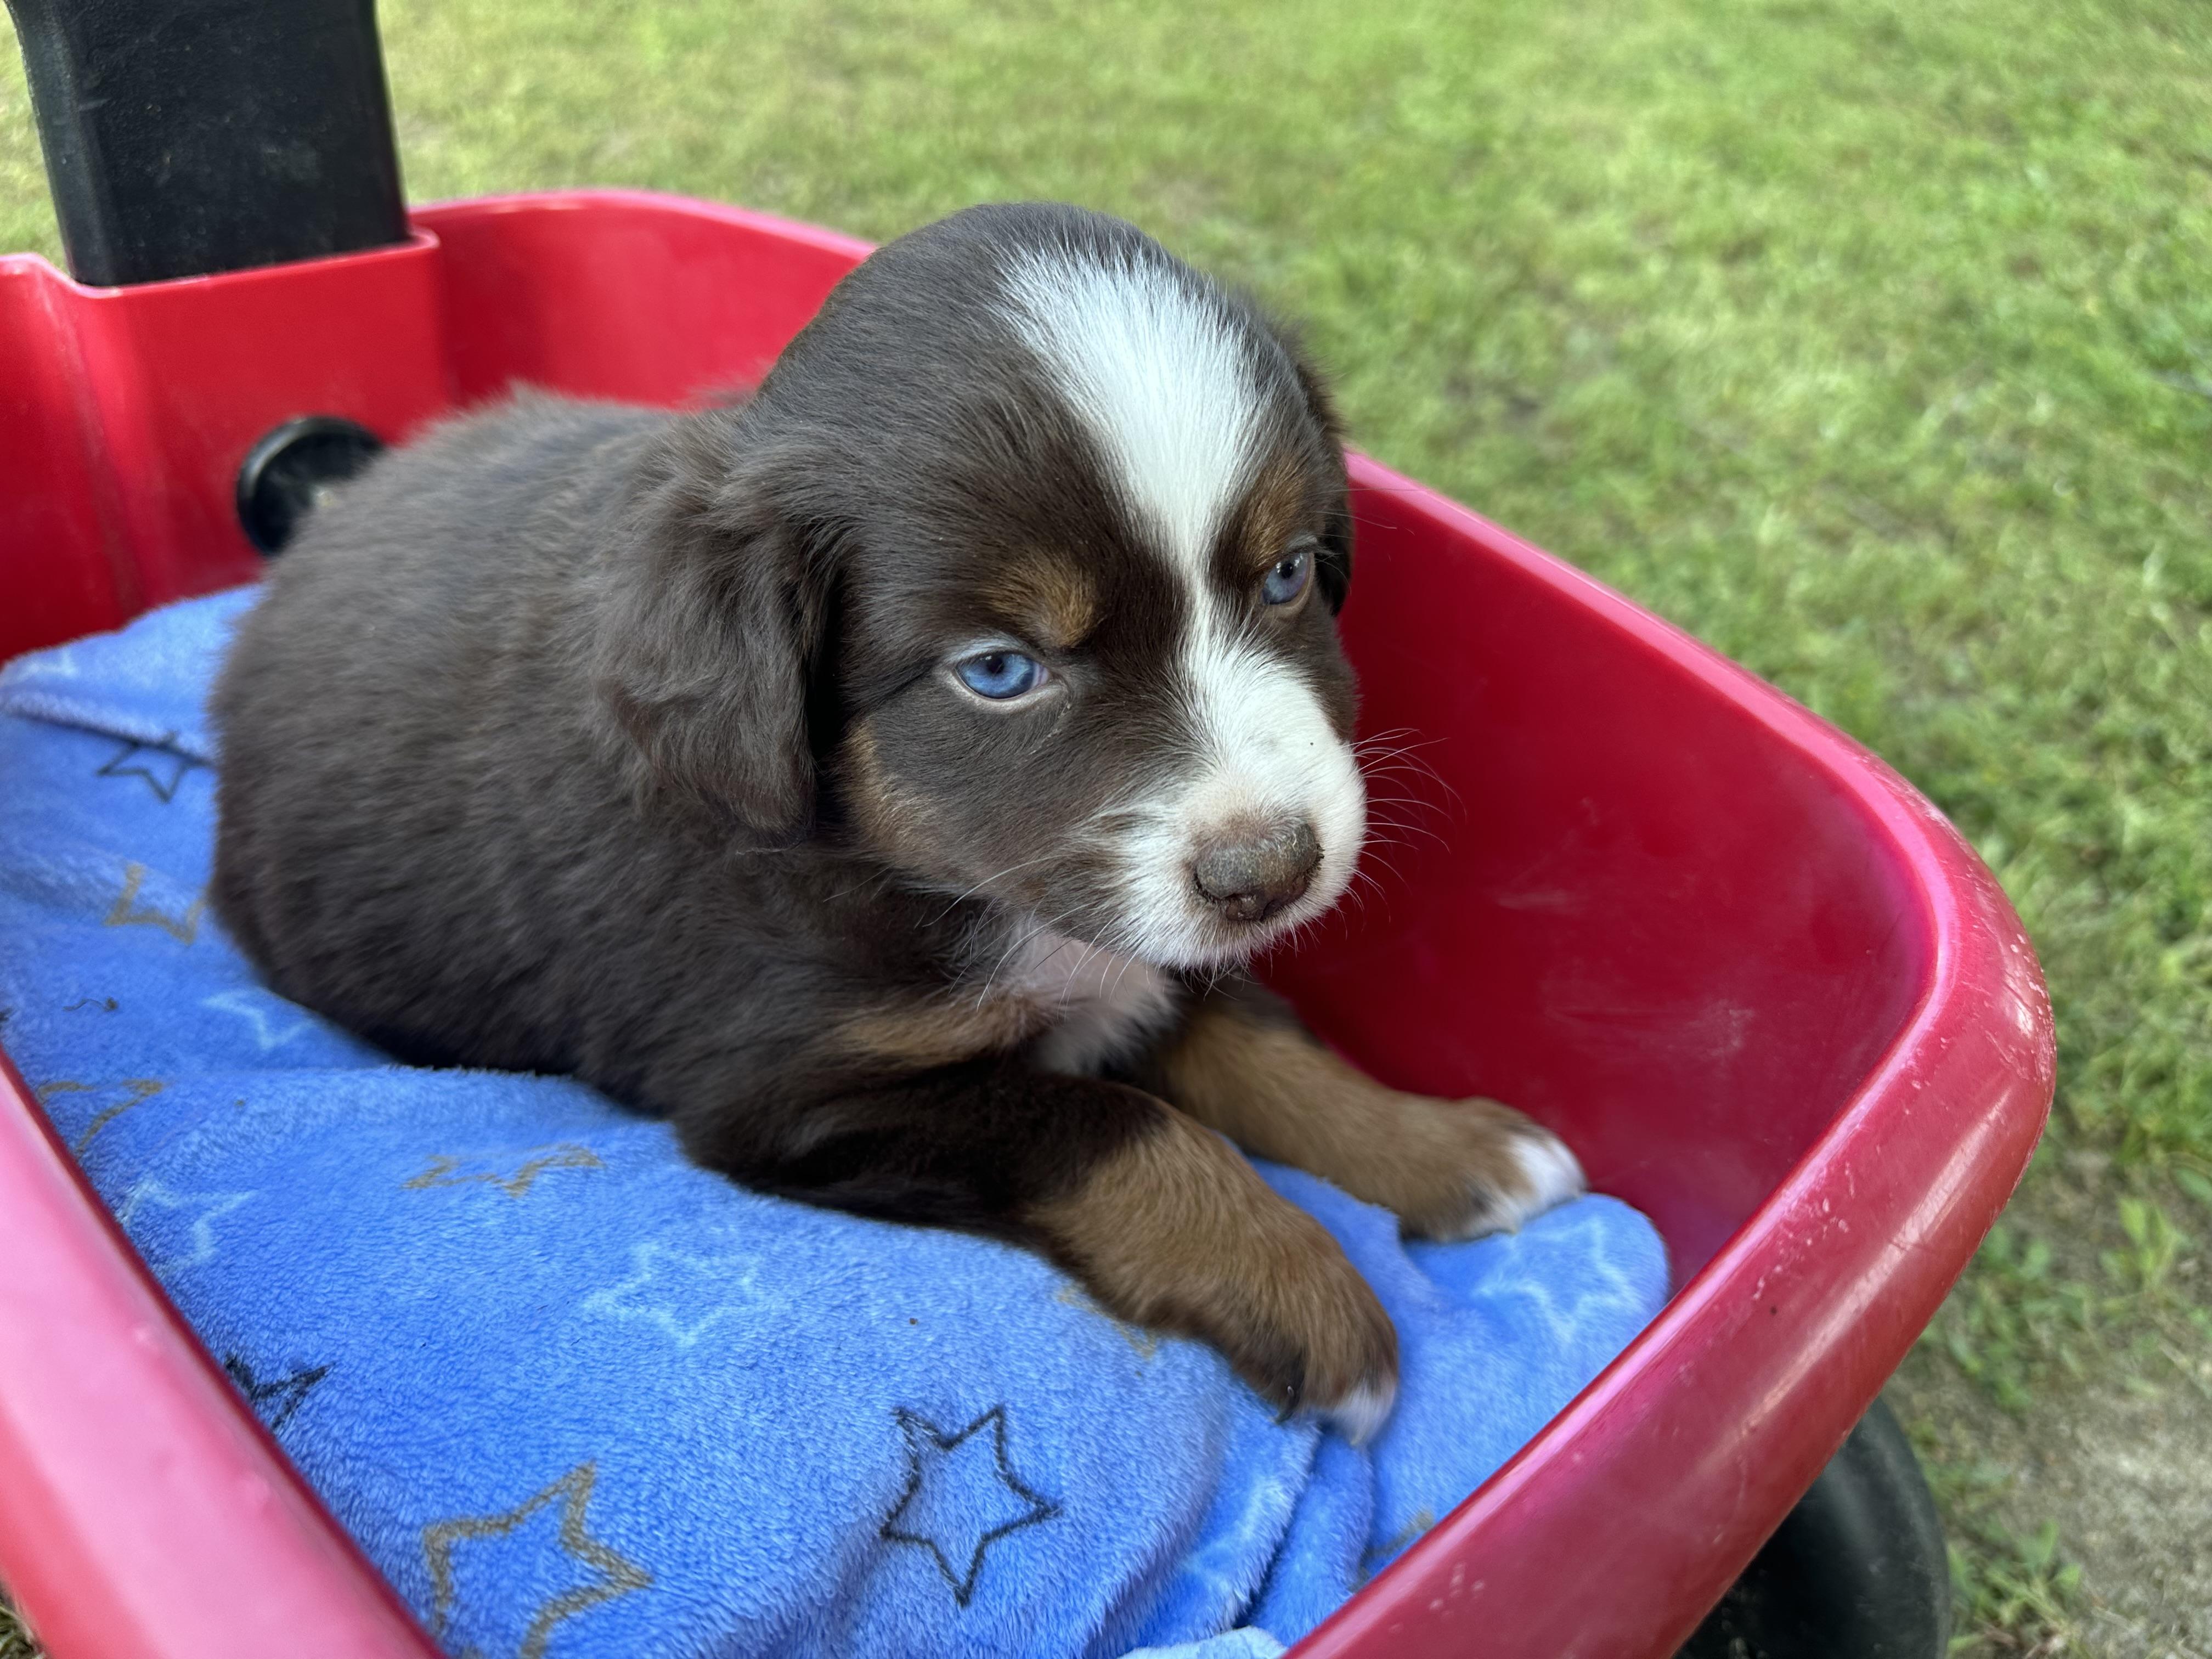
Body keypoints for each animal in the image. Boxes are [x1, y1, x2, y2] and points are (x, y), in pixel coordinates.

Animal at [211, 202, 1583, 1440]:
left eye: (1290, 573)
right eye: (1000, 671)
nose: (1273, 872)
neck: (930, 872)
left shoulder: (1132, 948)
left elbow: (1264, 1045)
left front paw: (1446, 1148)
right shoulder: (792, 1094)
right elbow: (1117, 1126)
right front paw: (1310, 1294)